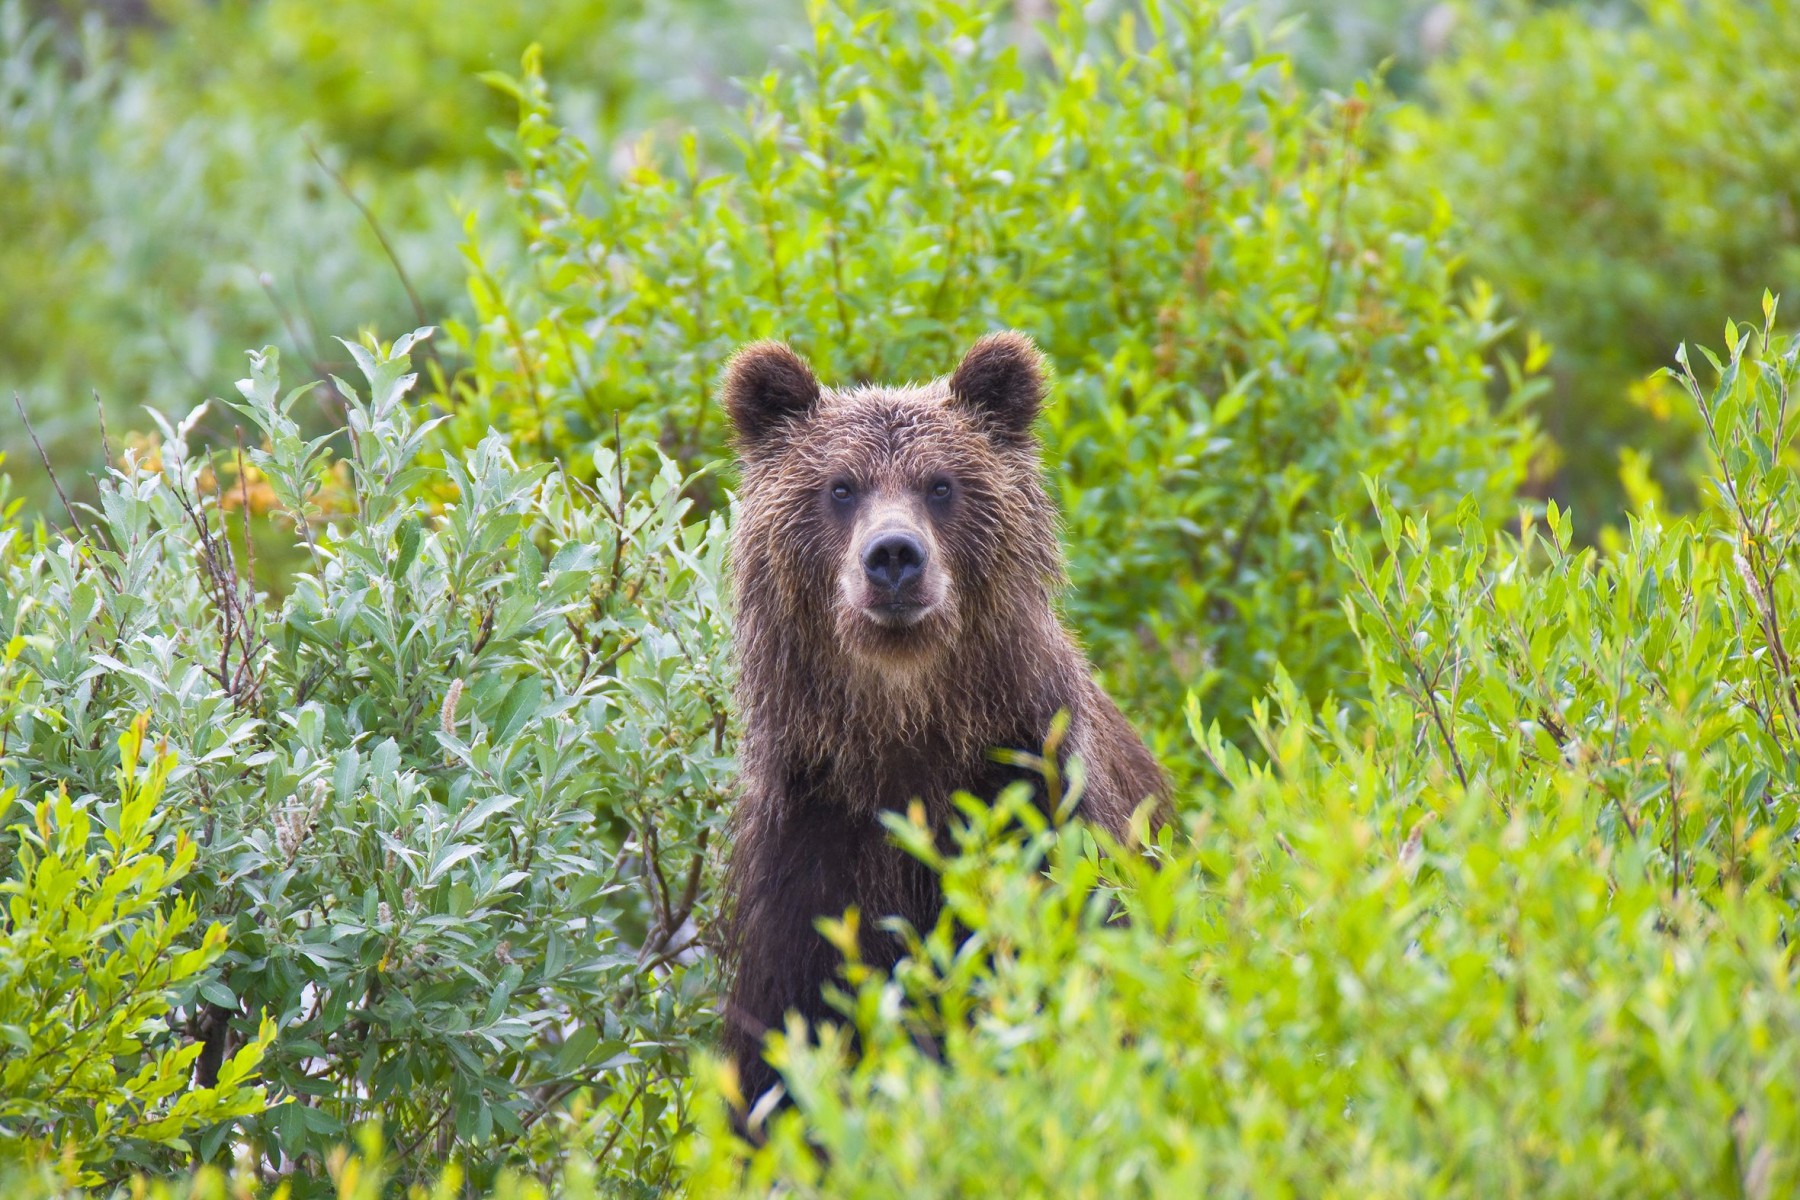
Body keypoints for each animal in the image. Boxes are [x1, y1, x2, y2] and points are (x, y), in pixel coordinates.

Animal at [716, 332, 1166, 1115]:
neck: (909, 737)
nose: (894, 555)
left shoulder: (1035, 806)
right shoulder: (813, 849)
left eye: (941, 484)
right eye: (840, 487)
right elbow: (788, 1059)